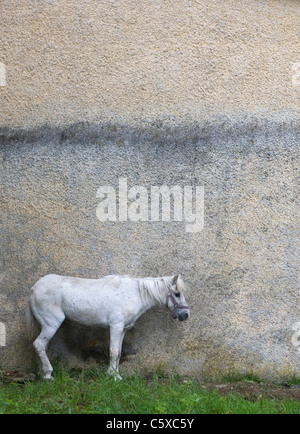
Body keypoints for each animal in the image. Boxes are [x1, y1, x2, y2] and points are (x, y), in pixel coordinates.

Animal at [25, 274, 190, 380]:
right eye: (177, 293)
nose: (186, 314)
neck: (134, 294)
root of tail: (34, 288)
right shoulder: (115, 326)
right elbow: (114, 352)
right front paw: (113, 377)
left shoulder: (122, 329)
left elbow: (119, 352)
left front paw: (115, 375)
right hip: (51, 324)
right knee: (39, 345)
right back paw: (48, 375)